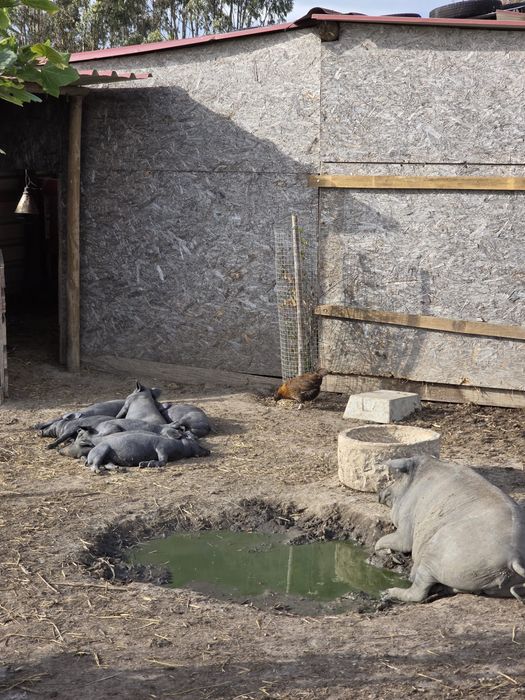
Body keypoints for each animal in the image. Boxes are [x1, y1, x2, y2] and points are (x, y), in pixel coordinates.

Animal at [81, 430, 210, 473]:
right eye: (191, 438)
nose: (208, 450)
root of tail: (89, 455)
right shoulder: (161, 447)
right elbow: (163, 460)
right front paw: (144, 464)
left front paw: (142, 464)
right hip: (101, 451)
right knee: (94, 464)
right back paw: (98, 471)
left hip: (107, 458)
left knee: (108, 464)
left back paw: (120, 469)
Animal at [375, 455, 525, 603]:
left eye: (397, 478)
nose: (379, 495)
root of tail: (514, 558)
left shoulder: (406, 519)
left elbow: (397, 541)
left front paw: (377, 548)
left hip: (436, 554)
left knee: (419, 591)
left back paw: (388, 593)